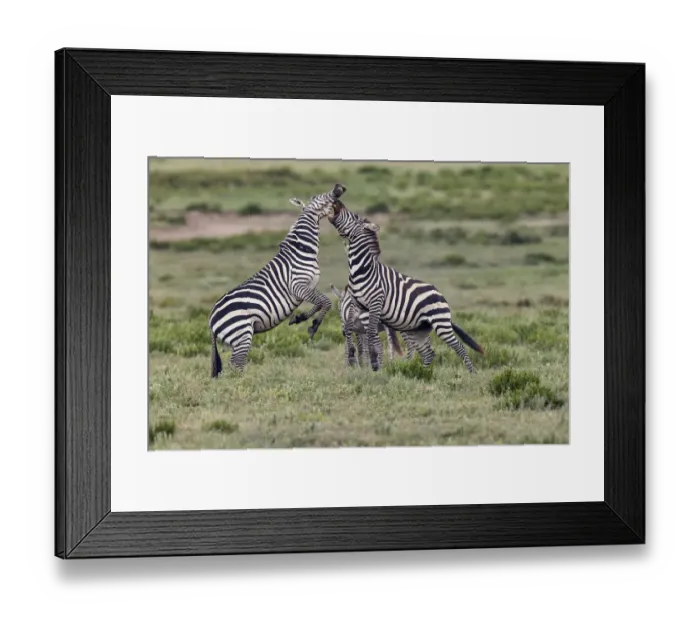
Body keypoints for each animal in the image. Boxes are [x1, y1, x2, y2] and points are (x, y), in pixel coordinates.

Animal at [209, 183, 346, 377]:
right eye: (319, 198)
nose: (339, 187)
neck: (301, 249)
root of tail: (211, 320)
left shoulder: (309, 286)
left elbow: (320, 303)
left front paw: (300, 318)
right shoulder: (297, 286)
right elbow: (325, 302)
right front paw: (313, 326)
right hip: (242, 334)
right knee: (236, 365)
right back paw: (244, 383)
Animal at [328, 197, 485, 373]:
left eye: (354, 216)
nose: (337, 201)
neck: (362, 269)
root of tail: (439, 294)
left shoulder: (375, 303)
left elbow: (371, 336)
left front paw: (375, 365)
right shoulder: (357, 305)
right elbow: (351, 329)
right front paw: (356, 361)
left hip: (440, 323)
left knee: (459, 347)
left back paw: (471, 373)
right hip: (418, 330)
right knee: (428, 353)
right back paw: (421, 372)